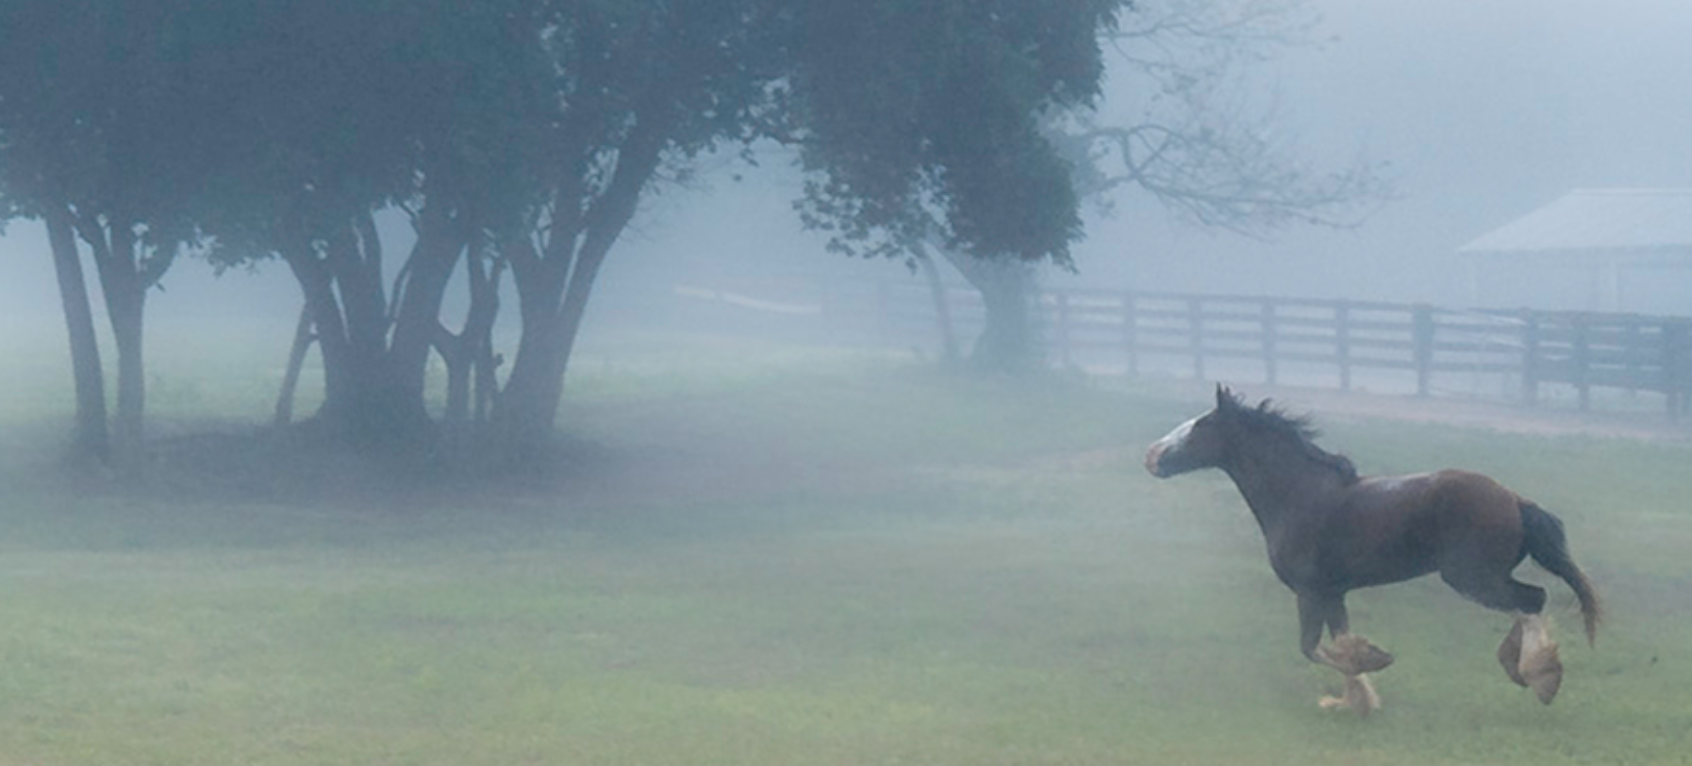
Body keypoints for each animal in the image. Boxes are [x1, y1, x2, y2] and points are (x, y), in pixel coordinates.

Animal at [1137, 385, 1597, 713]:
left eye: (1201, 426)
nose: (1151, 456)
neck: (1298, 496)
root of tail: (1516, 500)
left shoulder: (1309, 591)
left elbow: (1313, 648)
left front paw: (1372, 663)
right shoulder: (1332, 592)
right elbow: (1339, 641)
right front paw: (1356, 700)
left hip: (1472, 577)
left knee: (1532, 599)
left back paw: (1541, 676)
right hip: (1481, 577)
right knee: (1527, 603)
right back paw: (1521, 666)